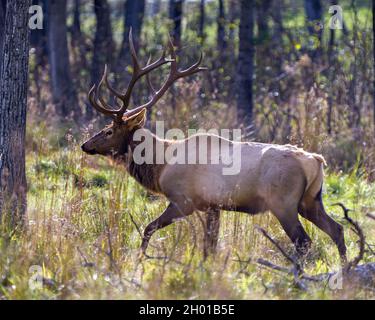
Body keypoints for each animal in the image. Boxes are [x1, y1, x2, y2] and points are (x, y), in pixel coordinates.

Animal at [81, 28, 348, 262]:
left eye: (109, 130)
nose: (85, 145)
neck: (160, 166)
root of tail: (316, 161)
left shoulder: (183, 201)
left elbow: (149, 228)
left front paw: (140, 259)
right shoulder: (212, 206)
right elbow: (209, 245)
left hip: (283, 203)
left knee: (304, 241)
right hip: (311, 200)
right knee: (338, 230)